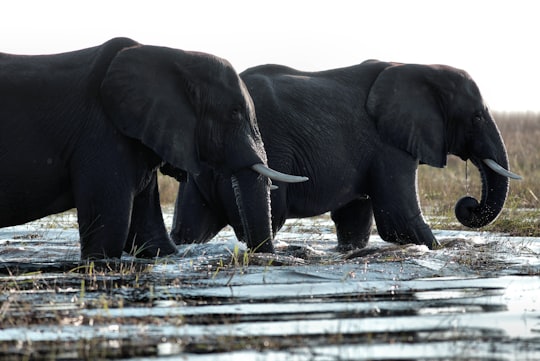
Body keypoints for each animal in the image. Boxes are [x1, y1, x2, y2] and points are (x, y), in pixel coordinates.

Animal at [0, 37, 306, 258]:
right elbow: (108, 236)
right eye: (233, 113)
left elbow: (152, 240)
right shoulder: (102, 135)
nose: (258, 254)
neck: (175, 57)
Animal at [171, 59, 520, 250]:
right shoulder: (387, 145)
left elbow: (355, 221)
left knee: (190, 227)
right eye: (477, 117)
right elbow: (399, 220)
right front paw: (440, 249)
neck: (417, 66)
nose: (468, 204)